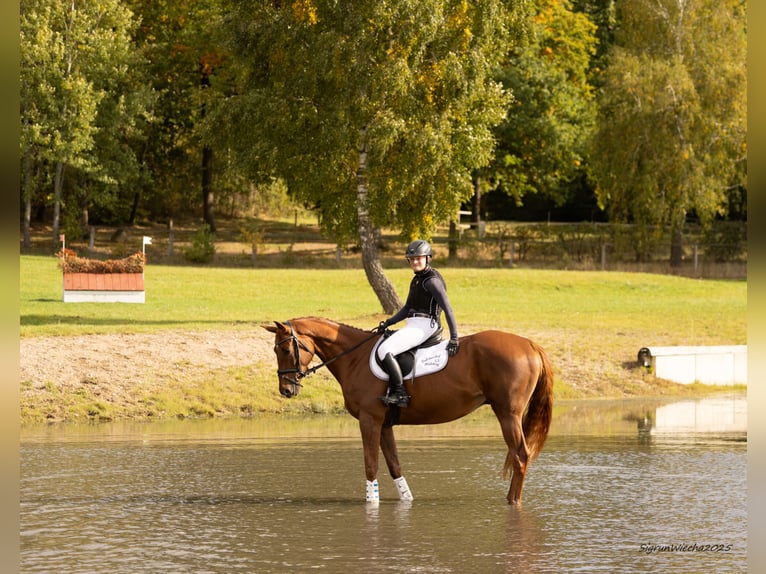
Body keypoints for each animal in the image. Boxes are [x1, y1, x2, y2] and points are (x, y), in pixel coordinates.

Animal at [263, 316, 553, 505]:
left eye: (286, 348)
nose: (286, 389)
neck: (354, 358)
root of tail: (529, 344)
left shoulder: (369, 420)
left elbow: (371, 465)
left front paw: (371, 504)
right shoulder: (384, 424)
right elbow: (394, 465)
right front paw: (406, 500)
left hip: (508, 415)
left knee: (521, 456)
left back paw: (512, 502)